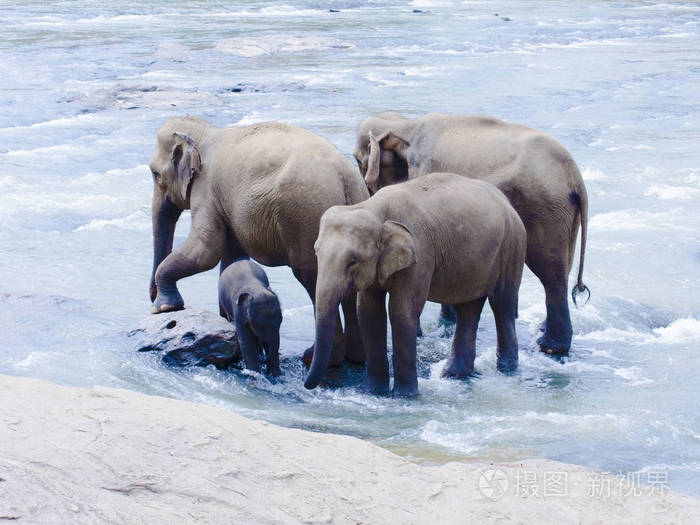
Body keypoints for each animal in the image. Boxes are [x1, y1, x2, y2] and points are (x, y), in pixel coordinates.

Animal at [145, 115, 370, 364]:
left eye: (155, 174)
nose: (151, 297)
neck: (205, 132)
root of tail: (345, 178)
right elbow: (232, 254)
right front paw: (229, 319)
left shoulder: (206, 190)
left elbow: (206, 252)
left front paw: (163, 308)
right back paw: (355, 358)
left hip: (306, 216)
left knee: (311, 277)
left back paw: (318, 359)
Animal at [304, 173, 528, 398]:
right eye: (316, 253)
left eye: (353, 261)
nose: (307, 385)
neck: (373, 208)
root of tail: (507, 203)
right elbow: (368, 312)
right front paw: (370, 391)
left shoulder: (420, 252)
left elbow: (401, 311)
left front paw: (404, 395)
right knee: (468, 308)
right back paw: (453, 374)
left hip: (512, 245)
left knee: (502, 305)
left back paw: (505, 369)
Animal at [352, 112, 588, 354]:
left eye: (357, 160)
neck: (405, 124)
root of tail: (575, 179)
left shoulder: (424, 170)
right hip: (564, 216)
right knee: (563, 266)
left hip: (544, 209)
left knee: (551, 274)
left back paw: (551, 347)